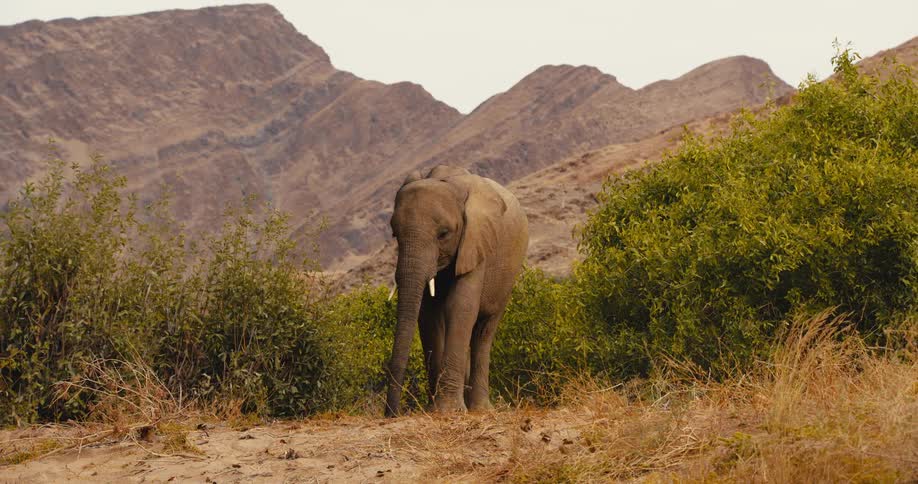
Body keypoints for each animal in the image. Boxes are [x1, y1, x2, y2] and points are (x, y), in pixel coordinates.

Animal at [384, 165, 529, 417]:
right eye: (395, 234)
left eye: (443, 234)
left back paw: (480, 409)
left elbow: (461, 307)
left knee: (483, 333)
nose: (391, 414)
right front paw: (435, 409)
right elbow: (428, 314)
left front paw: (448, 411)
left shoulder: (476, 241)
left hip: (508, 278)